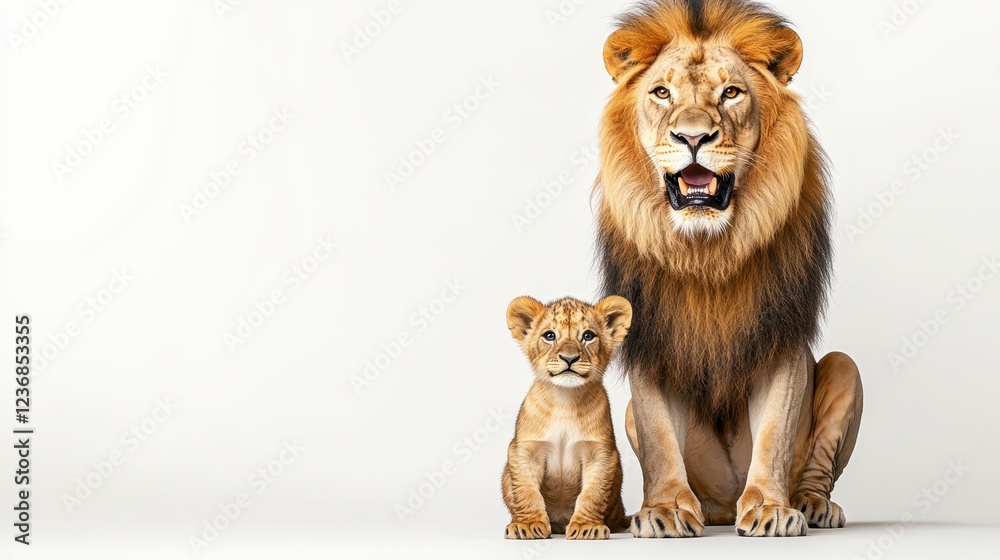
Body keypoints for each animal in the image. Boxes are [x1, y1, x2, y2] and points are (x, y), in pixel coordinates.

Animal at [501, 296, 633, 539]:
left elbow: (592, 494)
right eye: (550, 335)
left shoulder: (600, 454)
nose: (569, 358)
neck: (565, 399)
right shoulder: (525, 450)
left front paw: (586, 526)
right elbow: (526, 491)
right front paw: (528, 525)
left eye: (588, 336)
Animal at [594, 0, 863, 537]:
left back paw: (811, 505)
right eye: (662, 93)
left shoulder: (780, 334)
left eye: (731, 93)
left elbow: (775, 432)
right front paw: (665, 510)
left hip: (847, 369)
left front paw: (770, 508)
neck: (707, 252)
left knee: (816, 468)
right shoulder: (652, 339)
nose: (694, 137)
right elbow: (658, 436)